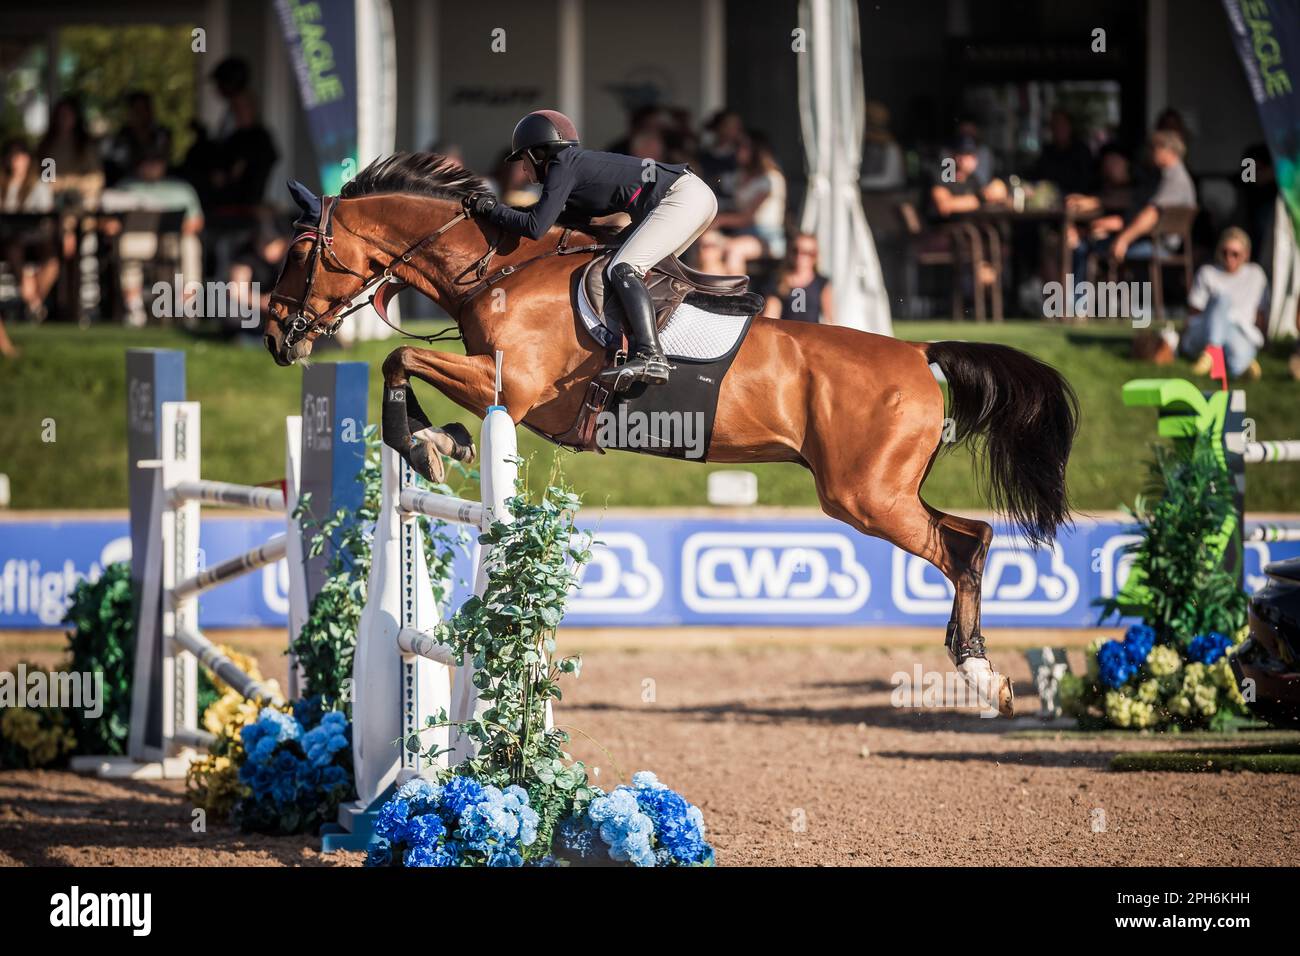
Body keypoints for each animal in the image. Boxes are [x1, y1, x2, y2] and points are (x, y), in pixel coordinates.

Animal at [263, 153, 1076, 712]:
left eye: (299, 254)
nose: (274, 338)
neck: (496, 272)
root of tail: (918, 352)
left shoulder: (510, 391)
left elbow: (399, 357)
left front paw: (427, 443)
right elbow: (403, 362)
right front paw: (446, 442)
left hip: (864, 495)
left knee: (961, 545)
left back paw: (981, 674)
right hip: (879, 491)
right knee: (974, 535)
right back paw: (982, 672)